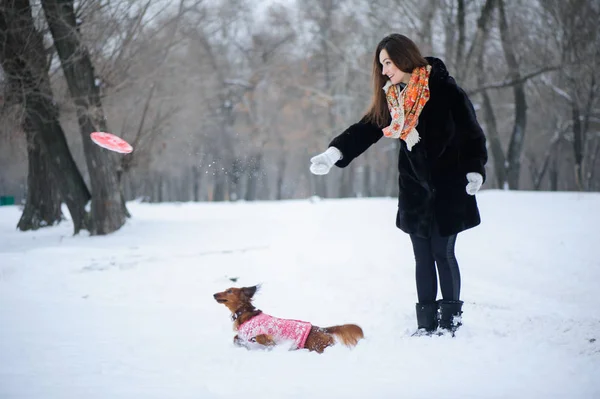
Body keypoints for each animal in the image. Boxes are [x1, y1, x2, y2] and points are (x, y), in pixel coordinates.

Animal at [213, 286, 364, 354]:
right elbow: (236, 338)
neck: (245, 313)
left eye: (229, 291)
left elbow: (261, 339)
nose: (214, 294)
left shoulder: (263, 335)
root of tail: (321, 328)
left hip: (317, 346)